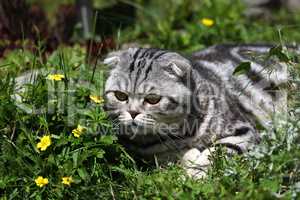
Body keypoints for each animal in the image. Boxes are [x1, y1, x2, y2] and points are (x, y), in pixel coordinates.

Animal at [102, 45, 288, 178]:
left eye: (153, 99)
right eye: (120, 96)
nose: (133, 113)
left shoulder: (244, 130)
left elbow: (218, 152)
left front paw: (196, 172)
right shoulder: (148, 153)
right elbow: (171, 155)